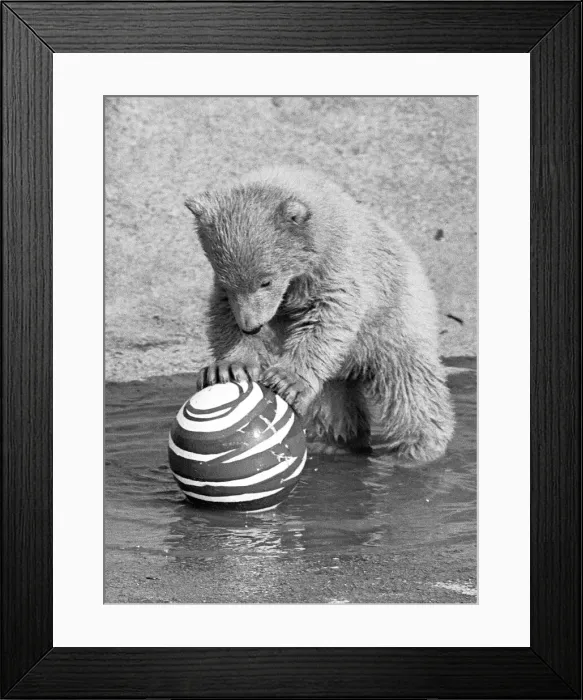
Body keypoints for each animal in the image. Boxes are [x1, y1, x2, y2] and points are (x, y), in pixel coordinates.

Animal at [185, 167, 454, 462]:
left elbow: (329, 317)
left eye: (266, 281)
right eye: (226, 280)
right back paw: (332, 442)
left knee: (409, 383)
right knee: (332, 404)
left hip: (397, 316)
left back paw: (415, 447)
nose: (251, 327)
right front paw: (229, 367)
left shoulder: (336, 267)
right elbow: (223, 315)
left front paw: (285, 380)